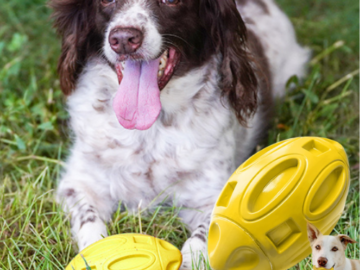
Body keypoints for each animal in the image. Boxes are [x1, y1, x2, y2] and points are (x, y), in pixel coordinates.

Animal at [50, 0, 310, 268]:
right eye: (105, 1)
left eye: (171, 1)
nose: (123, 39)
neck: (149, 132)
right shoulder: (78, 184)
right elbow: (90, 226)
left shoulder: (213, 197)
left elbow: (202, 239)